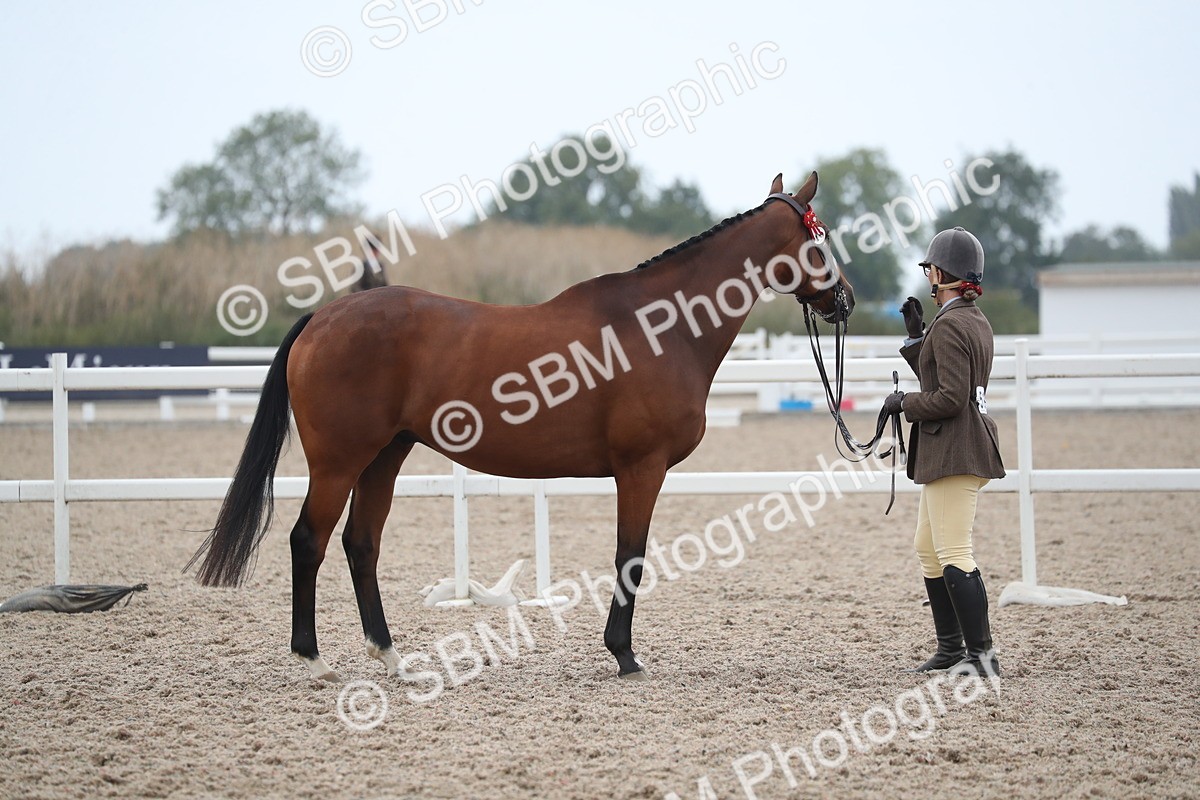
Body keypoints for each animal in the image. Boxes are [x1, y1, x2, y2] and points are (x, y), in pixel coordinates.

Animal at [185, 171, 855, 681]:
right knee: (309, 541)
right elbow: (630, 556)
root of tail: (324, 316)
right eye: (819, 241)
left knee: (360, 543)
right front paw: (624, 655)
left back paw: (390, 654)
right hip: (340, 460)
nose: (845, 299)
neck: (660, 327)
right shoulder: (641, 469)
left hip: (385, 456)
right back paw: (313, 660)